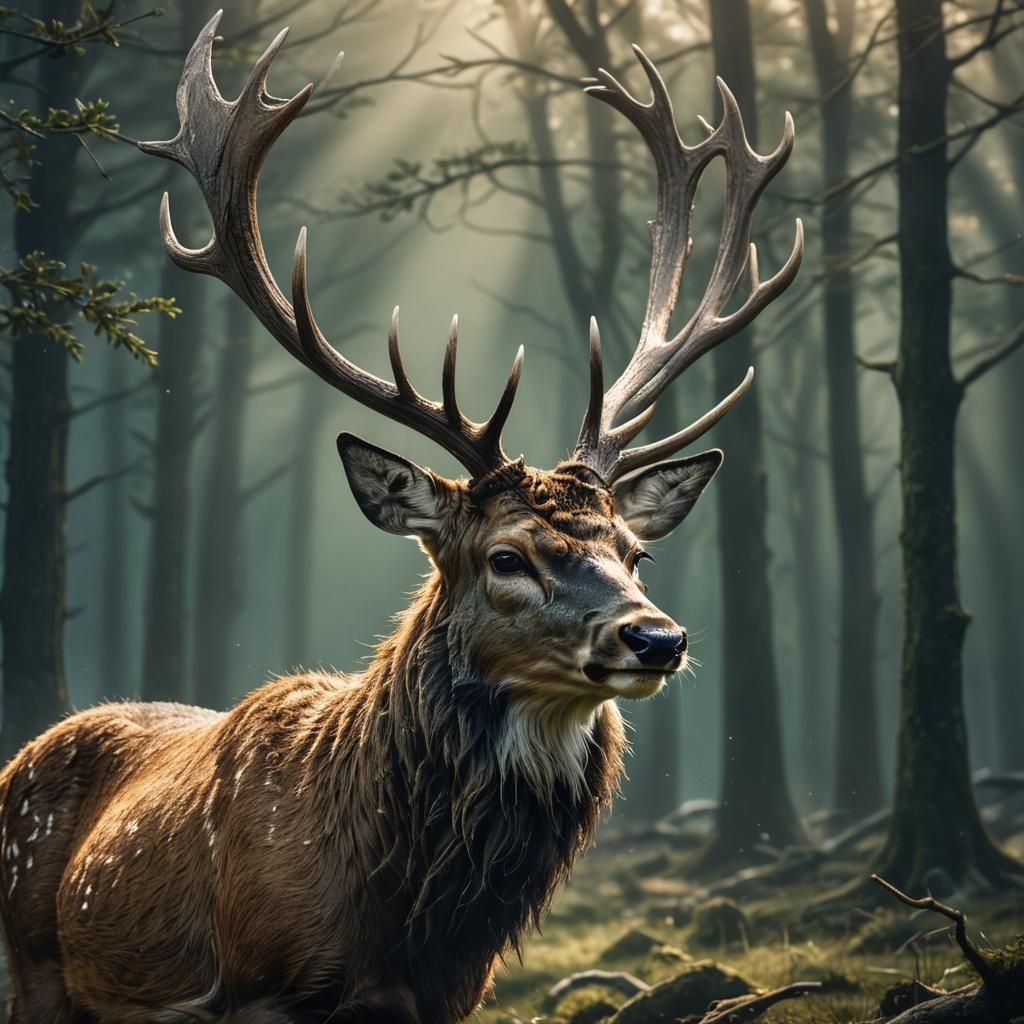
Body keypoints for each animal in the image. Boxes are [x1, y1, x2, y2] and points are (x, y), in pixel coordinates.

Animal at [0, 13, 802, 1024]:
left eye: (635, 553)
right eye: (507, 557)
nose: (657, 637)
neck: (403, 922)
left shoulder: (454, 995)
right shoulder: (256, 987)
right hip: (35, 965)